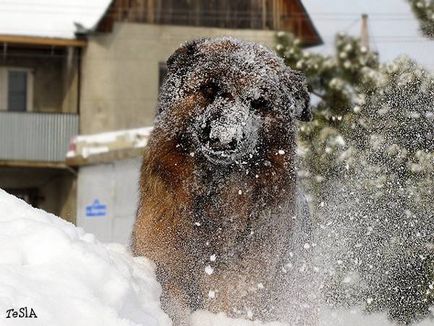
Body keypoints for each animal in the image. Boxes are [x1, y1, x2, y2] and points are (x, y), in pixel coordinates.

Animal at [131, 37, 316, 324]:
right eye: (210, 88)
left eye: (258, 102)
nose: (223, 139)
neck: (211, 197)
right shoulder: (163, 259)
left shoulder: (238, 281)